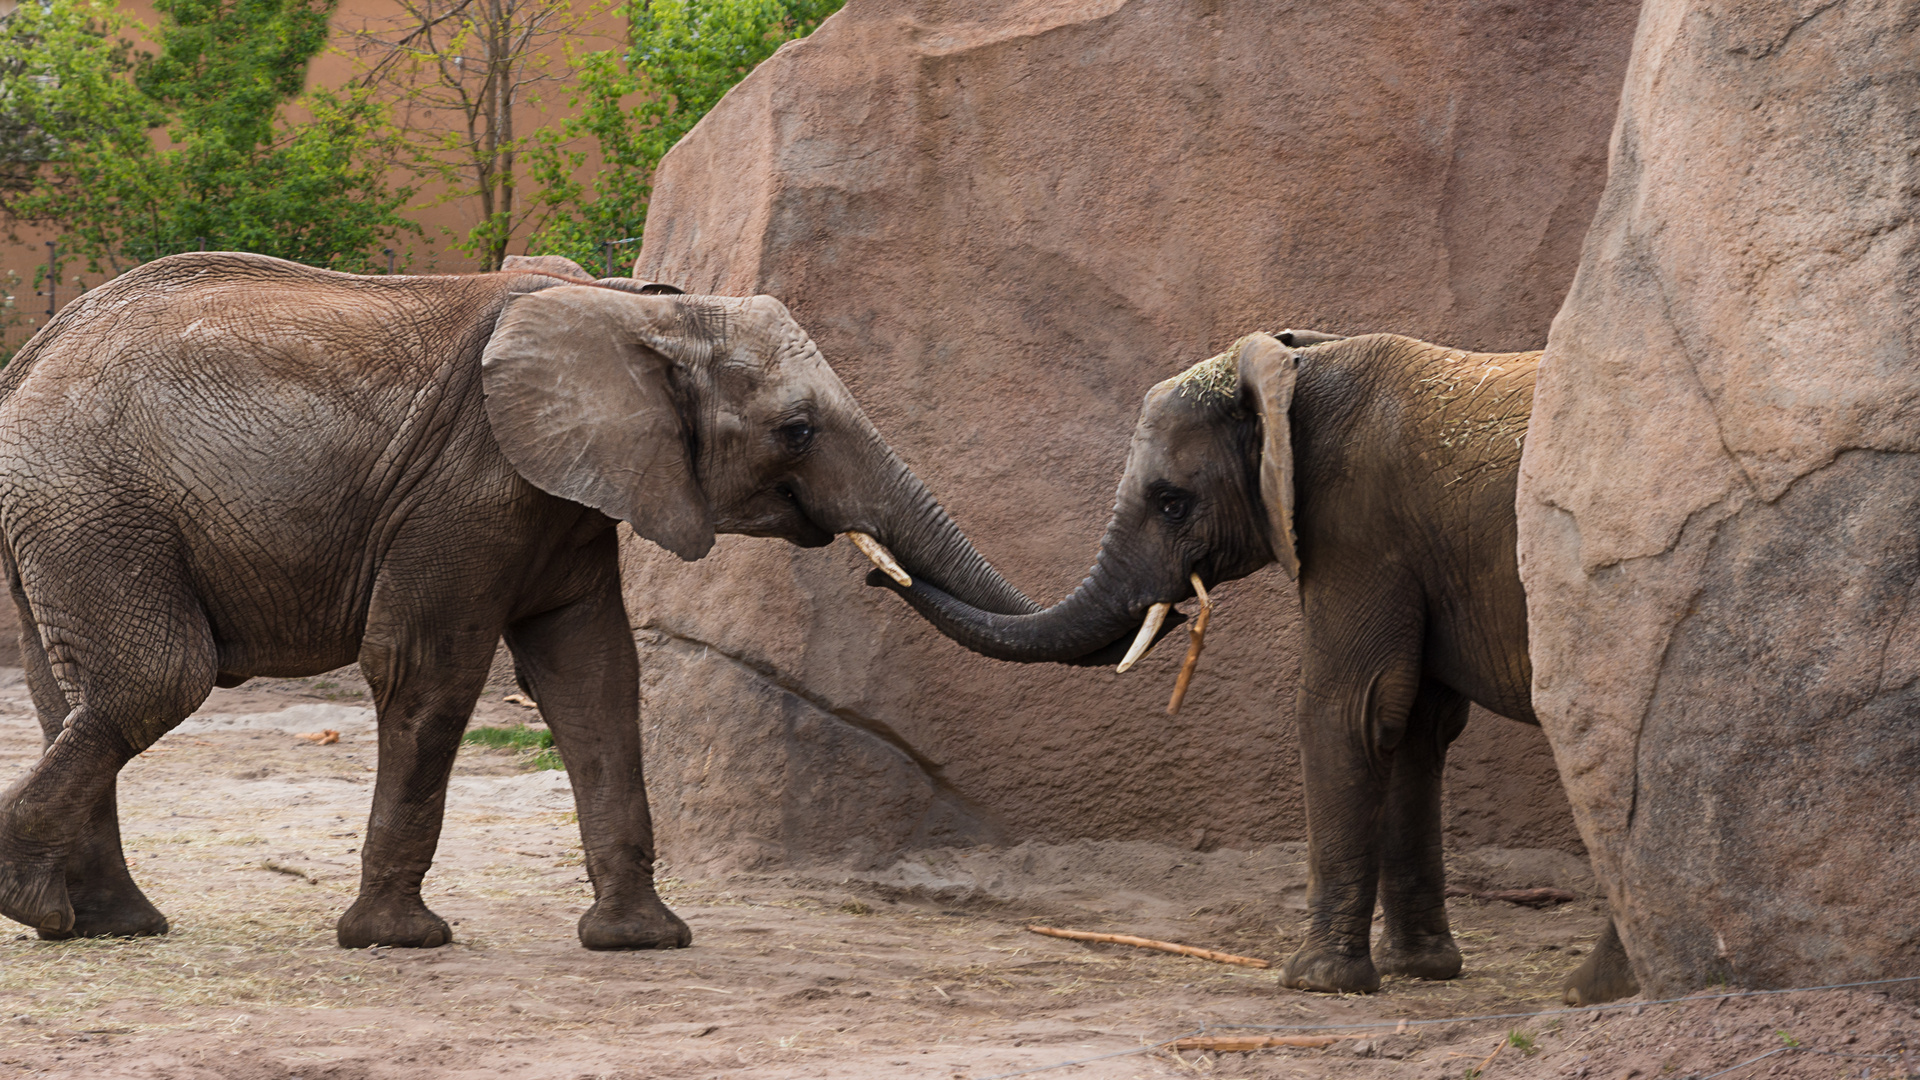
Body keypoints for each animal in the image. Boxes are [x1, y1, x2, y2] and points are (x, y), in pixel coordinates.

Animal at [0, 253, 1036, 949]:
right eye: (797, 430)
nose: (873, 569)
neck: (643, 308)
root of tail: (30, 358)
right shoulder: (469, 486)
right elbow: (429, 672)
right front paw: (399, 940)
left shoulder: (566, 498)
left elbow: (597, 678)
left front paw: (641, 941)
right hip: (96, 504)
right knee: (155, 680)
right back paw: (39, 900)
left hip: (64, 518)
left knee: (75, 696)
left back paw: (104, 922)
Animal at [871, 326, 1635, 999]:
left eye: (1171, 502)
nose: (876, 572)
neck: (1295, 371)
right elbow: (1412, 724)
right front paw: (1421, 970)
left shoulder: (1358, 526)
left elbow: (1351, 707)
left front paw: (1316, 983)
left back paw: (1591, 991)